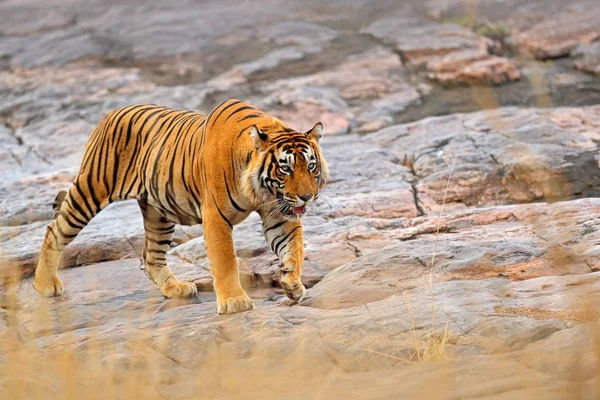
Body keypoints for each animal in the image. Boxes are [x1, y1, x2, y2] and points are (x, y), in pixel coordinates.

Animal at [34, 98, 328, 314]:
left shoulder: (279, 215)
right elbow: (225, 261)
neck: (260, 190)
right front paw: (234, 302)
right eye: (286, 168)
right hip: (91, 190)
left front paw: (292, 284)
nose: (307, 197)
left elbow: (294, 249)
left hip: (158, 213)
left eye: (311, 166)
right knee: (54, 231)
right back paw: (44, 284)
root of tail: (112, 112)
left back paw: (176, 288)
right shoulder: (216, 217)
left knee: (151, 255)